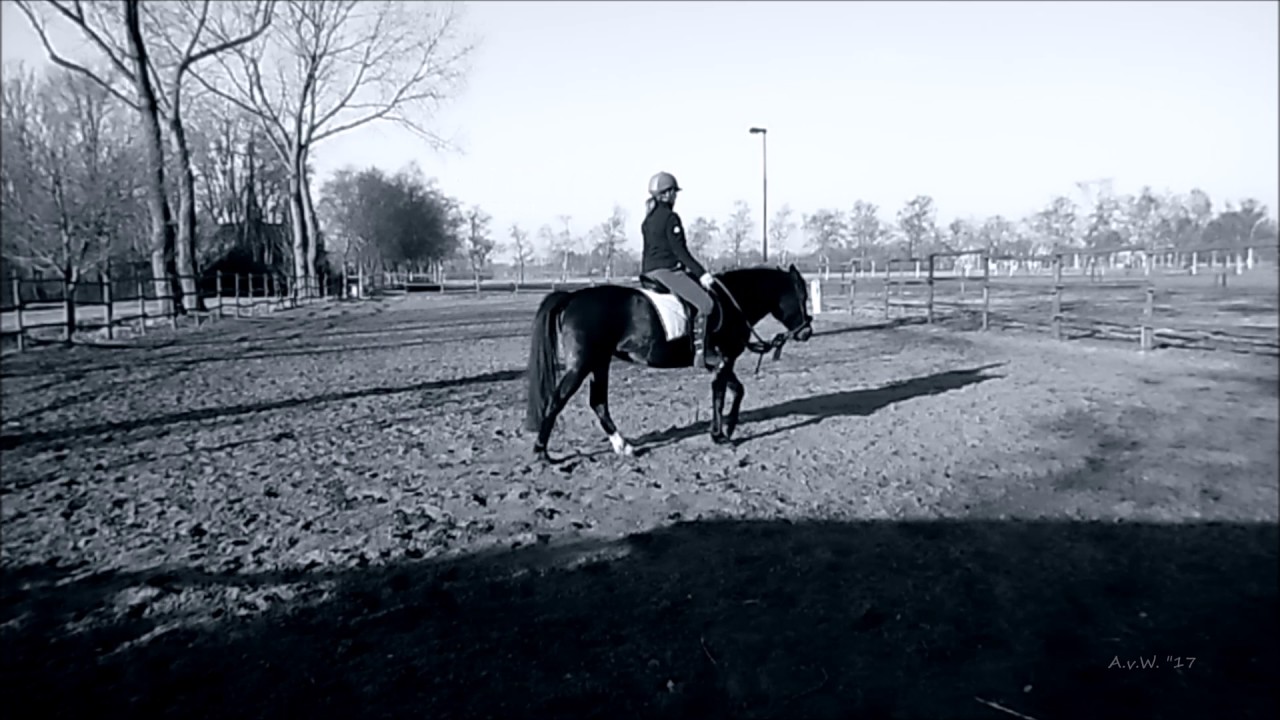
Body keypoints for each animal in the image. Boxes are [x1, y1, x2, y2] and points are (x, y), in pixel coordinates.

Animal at [524, 264, 815, 461]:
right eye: (801, 297)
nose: (806, 332)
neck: (734, 303)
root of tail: (573, 297)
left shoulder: (724, 363)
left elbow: (737, 390)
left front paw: (730, 428)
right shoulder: (724, 361)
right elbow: (720, 395)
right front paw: (720, 436)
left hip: (599, 363)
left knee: (598, 403)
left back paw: (623, 446)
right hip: (582, 365)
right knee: (557, 400)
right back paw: (541, 452)